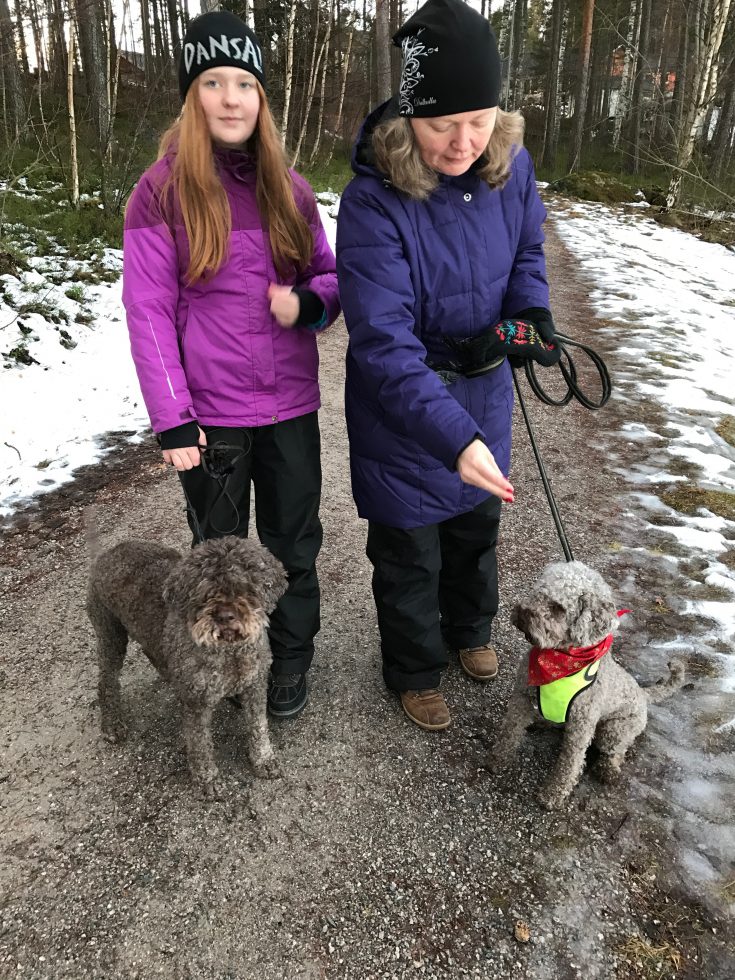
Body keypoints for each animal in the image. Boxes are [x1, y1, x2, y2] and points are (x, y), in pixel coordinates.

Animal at [87, 536, 288, 796]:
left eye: (246, 588)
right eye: (205, 592)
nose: (225, 616)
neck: (230, 652)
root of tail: (108, 551)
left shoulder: (255, 685)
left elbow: (259, 727)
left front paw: (263, 760)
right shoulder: (196, 703)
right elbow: (199, 743)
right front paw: (207, 780)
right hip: (110, 633)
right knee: (106, 681)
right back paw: (111, 725)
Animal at [492, 564, 688, 808]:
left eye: (558, 607)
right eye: (539, 591)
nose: (521, 612)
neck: (560, 660)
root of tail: (643, 694)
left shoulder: (582, 724)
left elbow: (570, 763)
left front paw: (553, 794)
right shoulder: (521, 697)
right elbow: (510, 731)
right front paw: (497, 759)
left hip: (615, 730)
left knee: (616, 751)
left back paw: (608, 769)